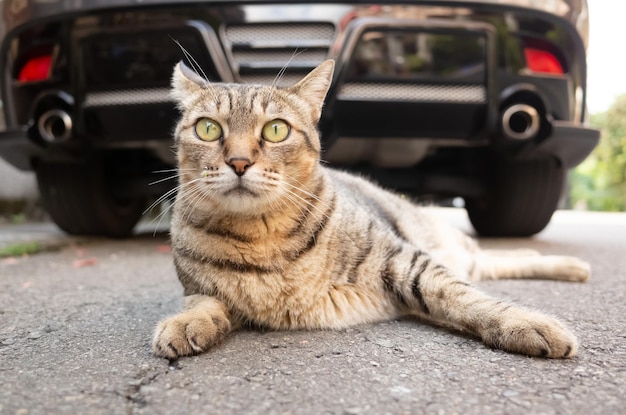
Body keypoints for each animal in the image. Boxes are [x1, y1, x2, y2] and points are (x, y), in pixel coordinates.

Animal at [152, 58, 588, 360]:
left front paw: (523, 321)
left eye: (275, 129)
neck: (262, 236)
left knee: (489, 258)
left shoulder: (404, 259)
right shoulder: (197, 287)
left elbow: (462, 297)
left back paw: (570, 265)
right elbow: (202, 301)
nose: (239, 162)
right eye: (208, 128)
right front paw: (185, 322)